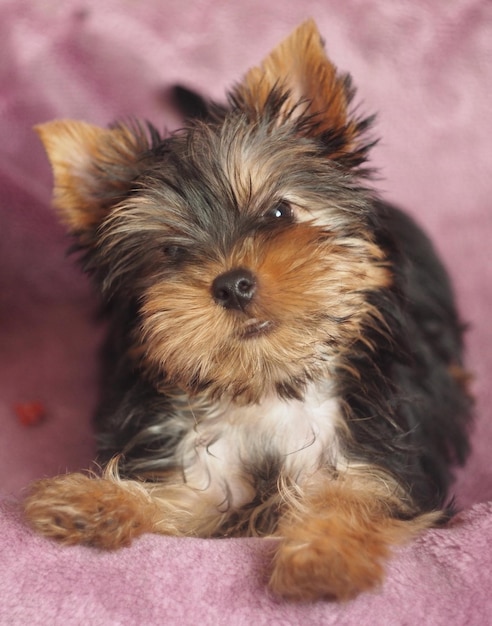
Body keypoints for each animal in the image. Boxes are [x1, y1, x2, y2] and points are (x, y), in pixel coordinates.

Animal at [25, 20, 470, 600]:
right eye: (171, 252)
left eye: (279, 213)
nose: (232, 285)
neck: (266, 384)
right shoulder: (200, 458)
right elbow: (185, 497)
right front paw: (93, 501)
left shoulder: (380, 452)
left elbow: (356, 496)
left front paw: (324, 556)